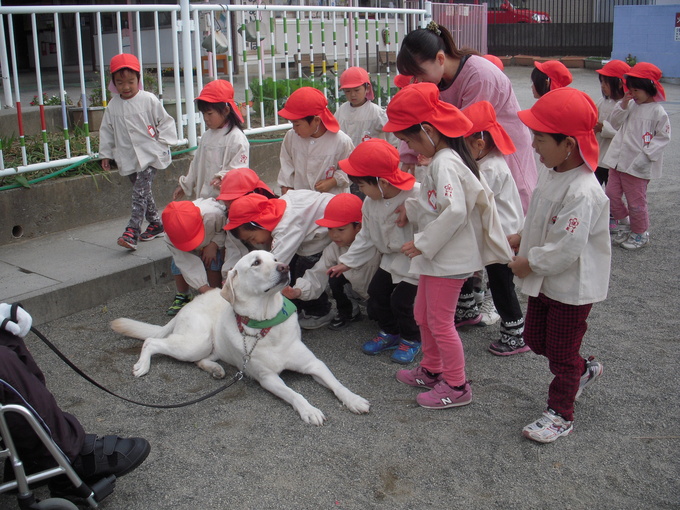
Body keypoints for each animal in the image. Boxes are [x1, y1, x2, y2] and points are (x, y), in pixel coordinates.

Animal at [111, 249, 370, 424]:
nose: (284, 267)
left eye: (275, 259)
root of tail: (188, 306)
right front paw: (309, 410)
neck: (266, 324)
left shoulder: (314, 364)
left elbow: (336, 384)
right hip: (195, 343)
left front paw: (354, 399)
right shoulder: (268, 378)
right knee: (152, 341)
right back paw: (142, 366)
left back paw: (215, 370)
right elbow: (294, 394)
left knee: (200, 360)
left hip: (208, 348)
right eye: (256, 263)